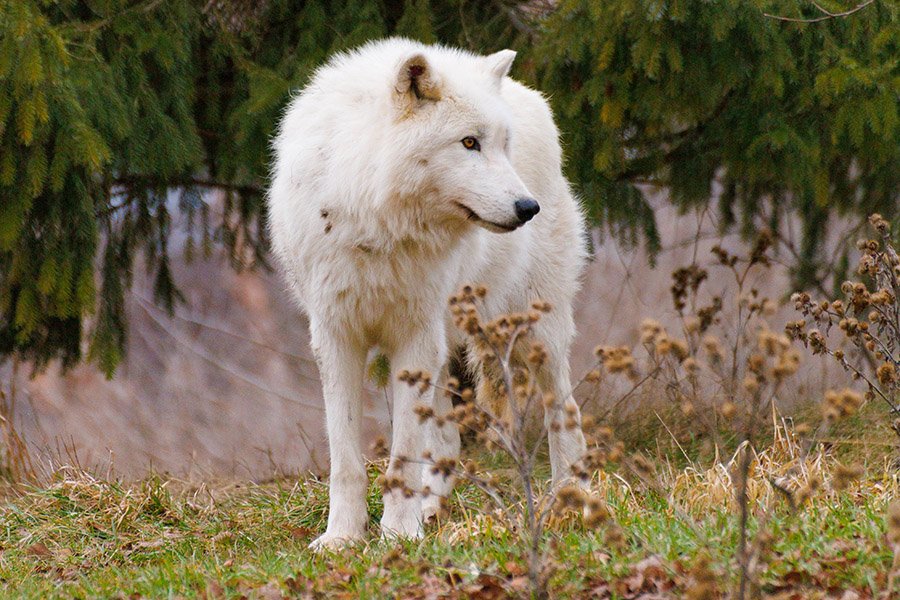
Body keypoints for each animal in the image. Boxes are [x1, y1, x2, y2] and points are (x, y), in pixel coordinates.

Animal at [268, 39, 592, 552]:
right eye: (469, 143)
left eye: (502, 145)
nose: (528, 208)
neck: (376, 221)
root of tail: (532, 96)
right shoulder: (336, 336)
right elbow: (346, 457)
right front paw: (342, 537)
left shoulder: (414, 338)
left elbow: (403, 451)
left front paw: (398, 535)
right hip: (445, 345)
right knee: (449, 442)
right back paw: (431, 510)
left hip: (533, 331)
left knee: (565, 408)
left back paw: (571, 501)